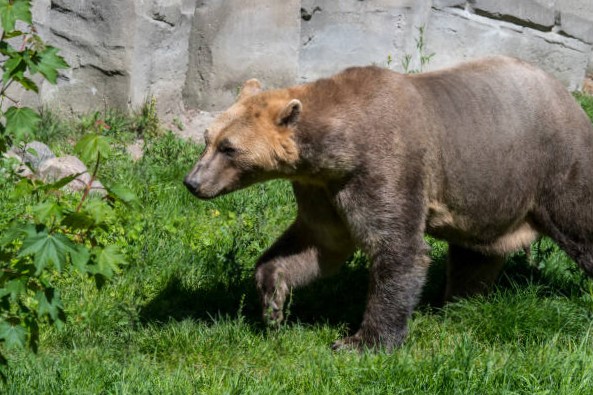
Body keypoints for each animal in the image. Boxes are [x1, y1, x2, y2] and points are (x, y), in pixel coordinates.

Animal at [184, 56, 592, 352]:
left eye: (229, 148)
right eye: (207, 138)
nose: (192, 182)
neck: (340, 145)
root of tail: (569, 97)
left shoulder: (383, 166)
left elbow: (397, 248)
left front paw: (359, 342)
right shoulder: (323, 187)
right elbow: (319, 242)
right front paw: (273, 302)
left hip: (554, 164)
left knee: (578, 223)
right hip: (486, 190)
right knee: (474, 255)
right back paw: (458, 305)